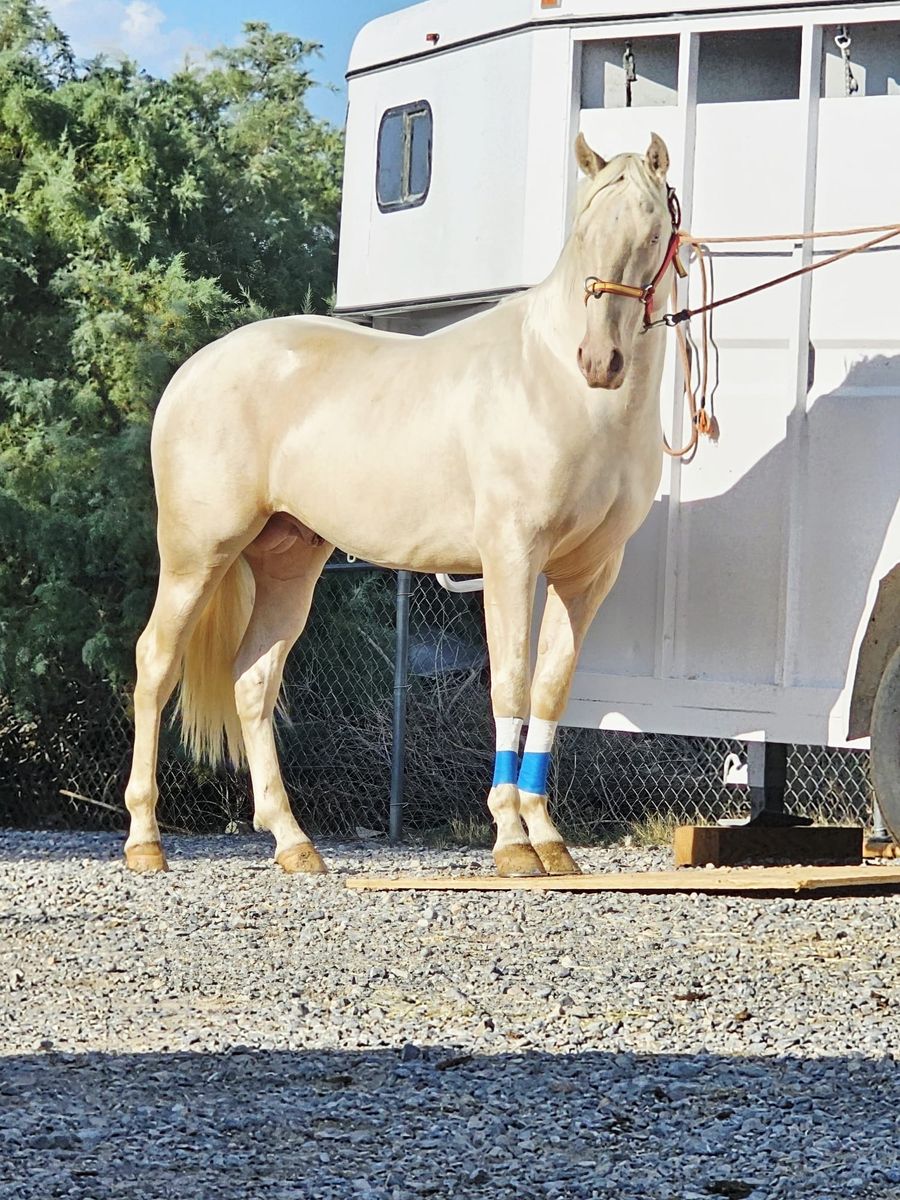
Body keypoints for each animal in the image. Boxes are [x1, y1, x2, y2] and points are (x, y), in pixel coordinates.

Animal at [123, 133, 677, 878]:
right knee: (155, 664)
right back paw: (145, 840)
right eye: (583, 230)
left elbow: (549, 690)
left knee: (253, 682)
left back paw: (294, 843)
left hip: (289, 562)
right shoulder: (510, 559)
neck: (559, 386)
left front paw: (549, 841)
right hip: (197, 556)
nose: (601, 360)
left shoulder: (587, 575)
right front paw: (512, 843)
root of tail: (192, 371)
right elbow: (509, 685)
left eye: (653, 232)